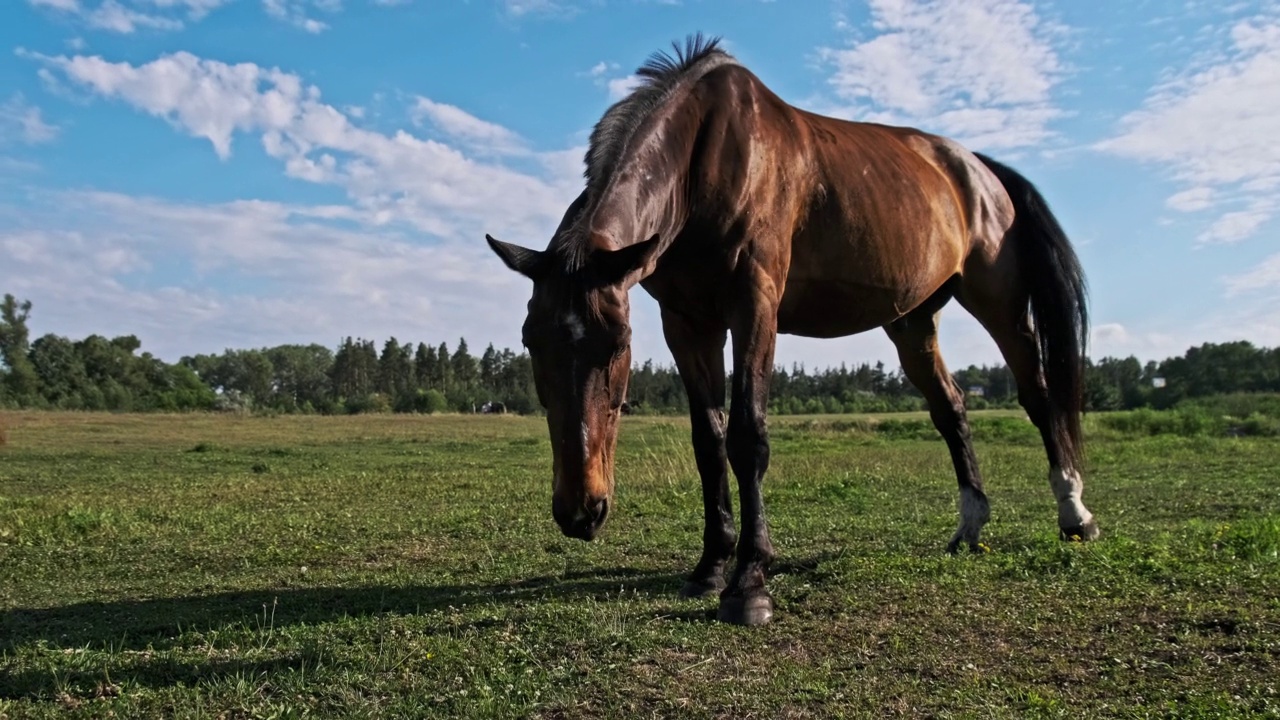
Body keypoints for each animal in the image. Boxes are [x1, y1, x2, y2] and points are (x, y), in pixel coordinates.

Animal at [483, 36, 1095, 625]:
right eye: (530, 341)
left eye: (618, 345)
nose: (580, 510)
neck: (705, 160)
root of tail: (977, 168)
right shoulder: (687, 322)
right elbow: (708, 441)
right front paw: (711, 566)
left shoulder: (755, 305)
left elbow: (747, 437)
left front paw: (749, 582)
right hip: (913, 322)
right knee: (951, 409)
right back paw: (970, 526)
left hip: (1000, 303)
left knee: (1039, 397)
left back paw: (1074, 514)